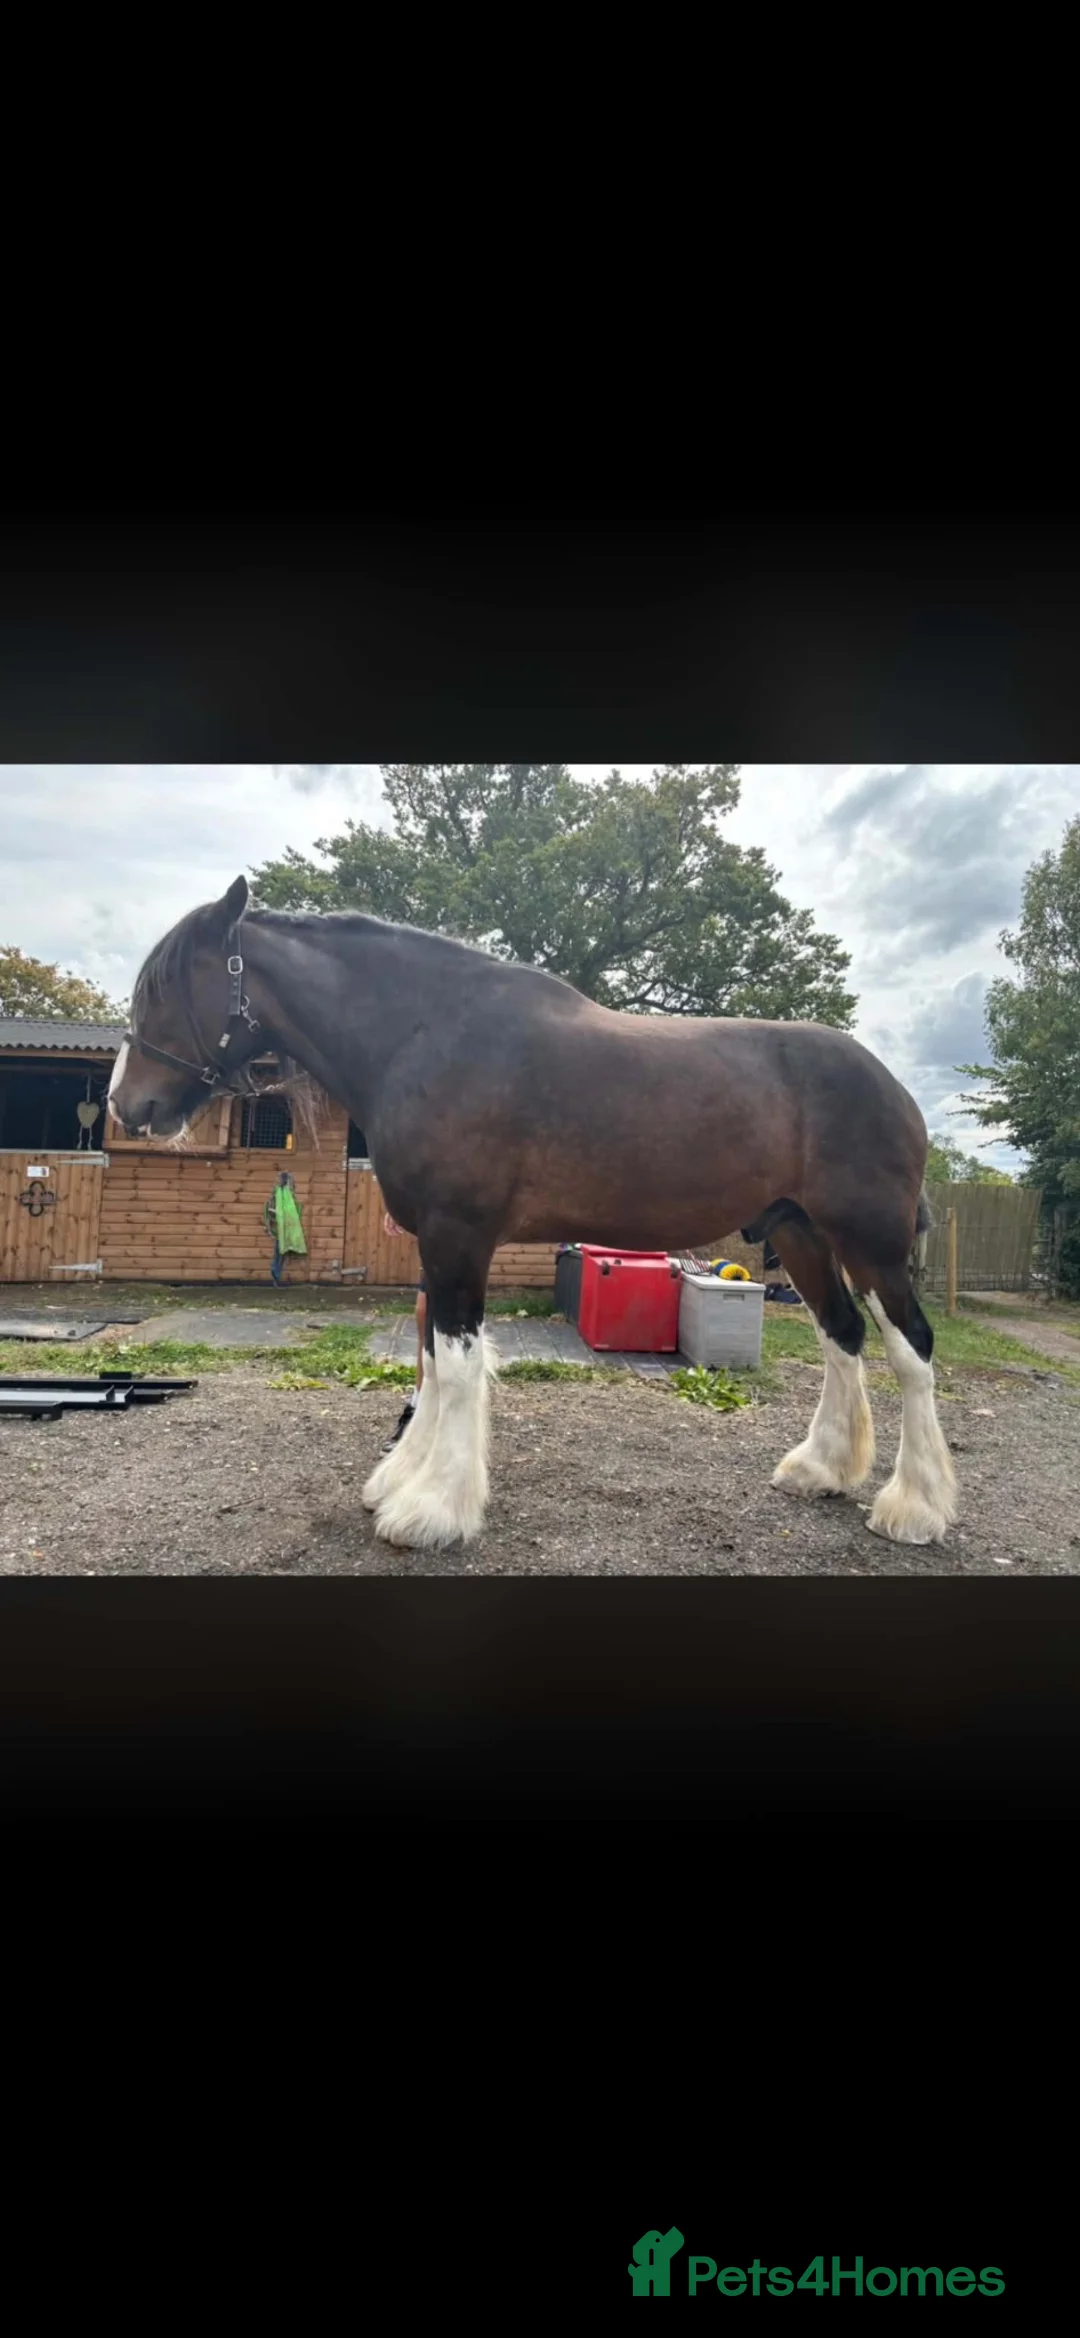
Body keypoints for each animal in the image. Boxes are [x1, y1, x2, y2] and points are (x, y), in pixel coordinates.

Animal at [108, 876, 957, 1557]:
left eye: (163, 988)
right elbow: (430, 1357)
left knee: (911, 1350)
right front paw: (403, 1479)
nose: (124, 1104)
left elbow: (454, 1364)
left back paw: (913, 1507)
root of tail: (893, 1085)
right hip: (799, 1233)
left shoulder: (459, 1235)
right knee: (841, 1336)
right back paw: (821, 1470)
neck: (423, 1035)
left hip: (870, 1244)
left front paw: (433, 1509)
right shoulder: (434, 1242)